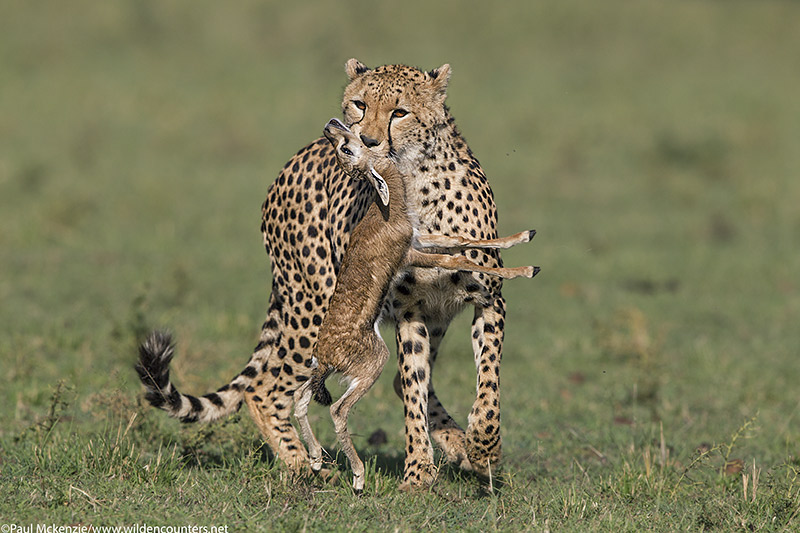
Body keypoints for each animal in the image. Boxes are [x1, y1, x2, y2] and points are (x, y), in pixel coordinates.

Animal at [136, 58, 532, 486]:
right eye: (360, 104)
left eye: (400, 112)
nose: (368, 139)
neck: (416, 180)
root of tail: (290, 163)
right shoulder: (409, 311)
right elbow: (414, 386)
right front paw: (418, 471)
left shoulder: (485, 301)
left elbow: (486, 380)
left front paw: (482, 446)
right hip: (314, 306)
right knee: (266, 389)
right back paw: (304, 467)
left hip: (423, 318)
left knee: (386, 382)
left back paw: (453, 444)